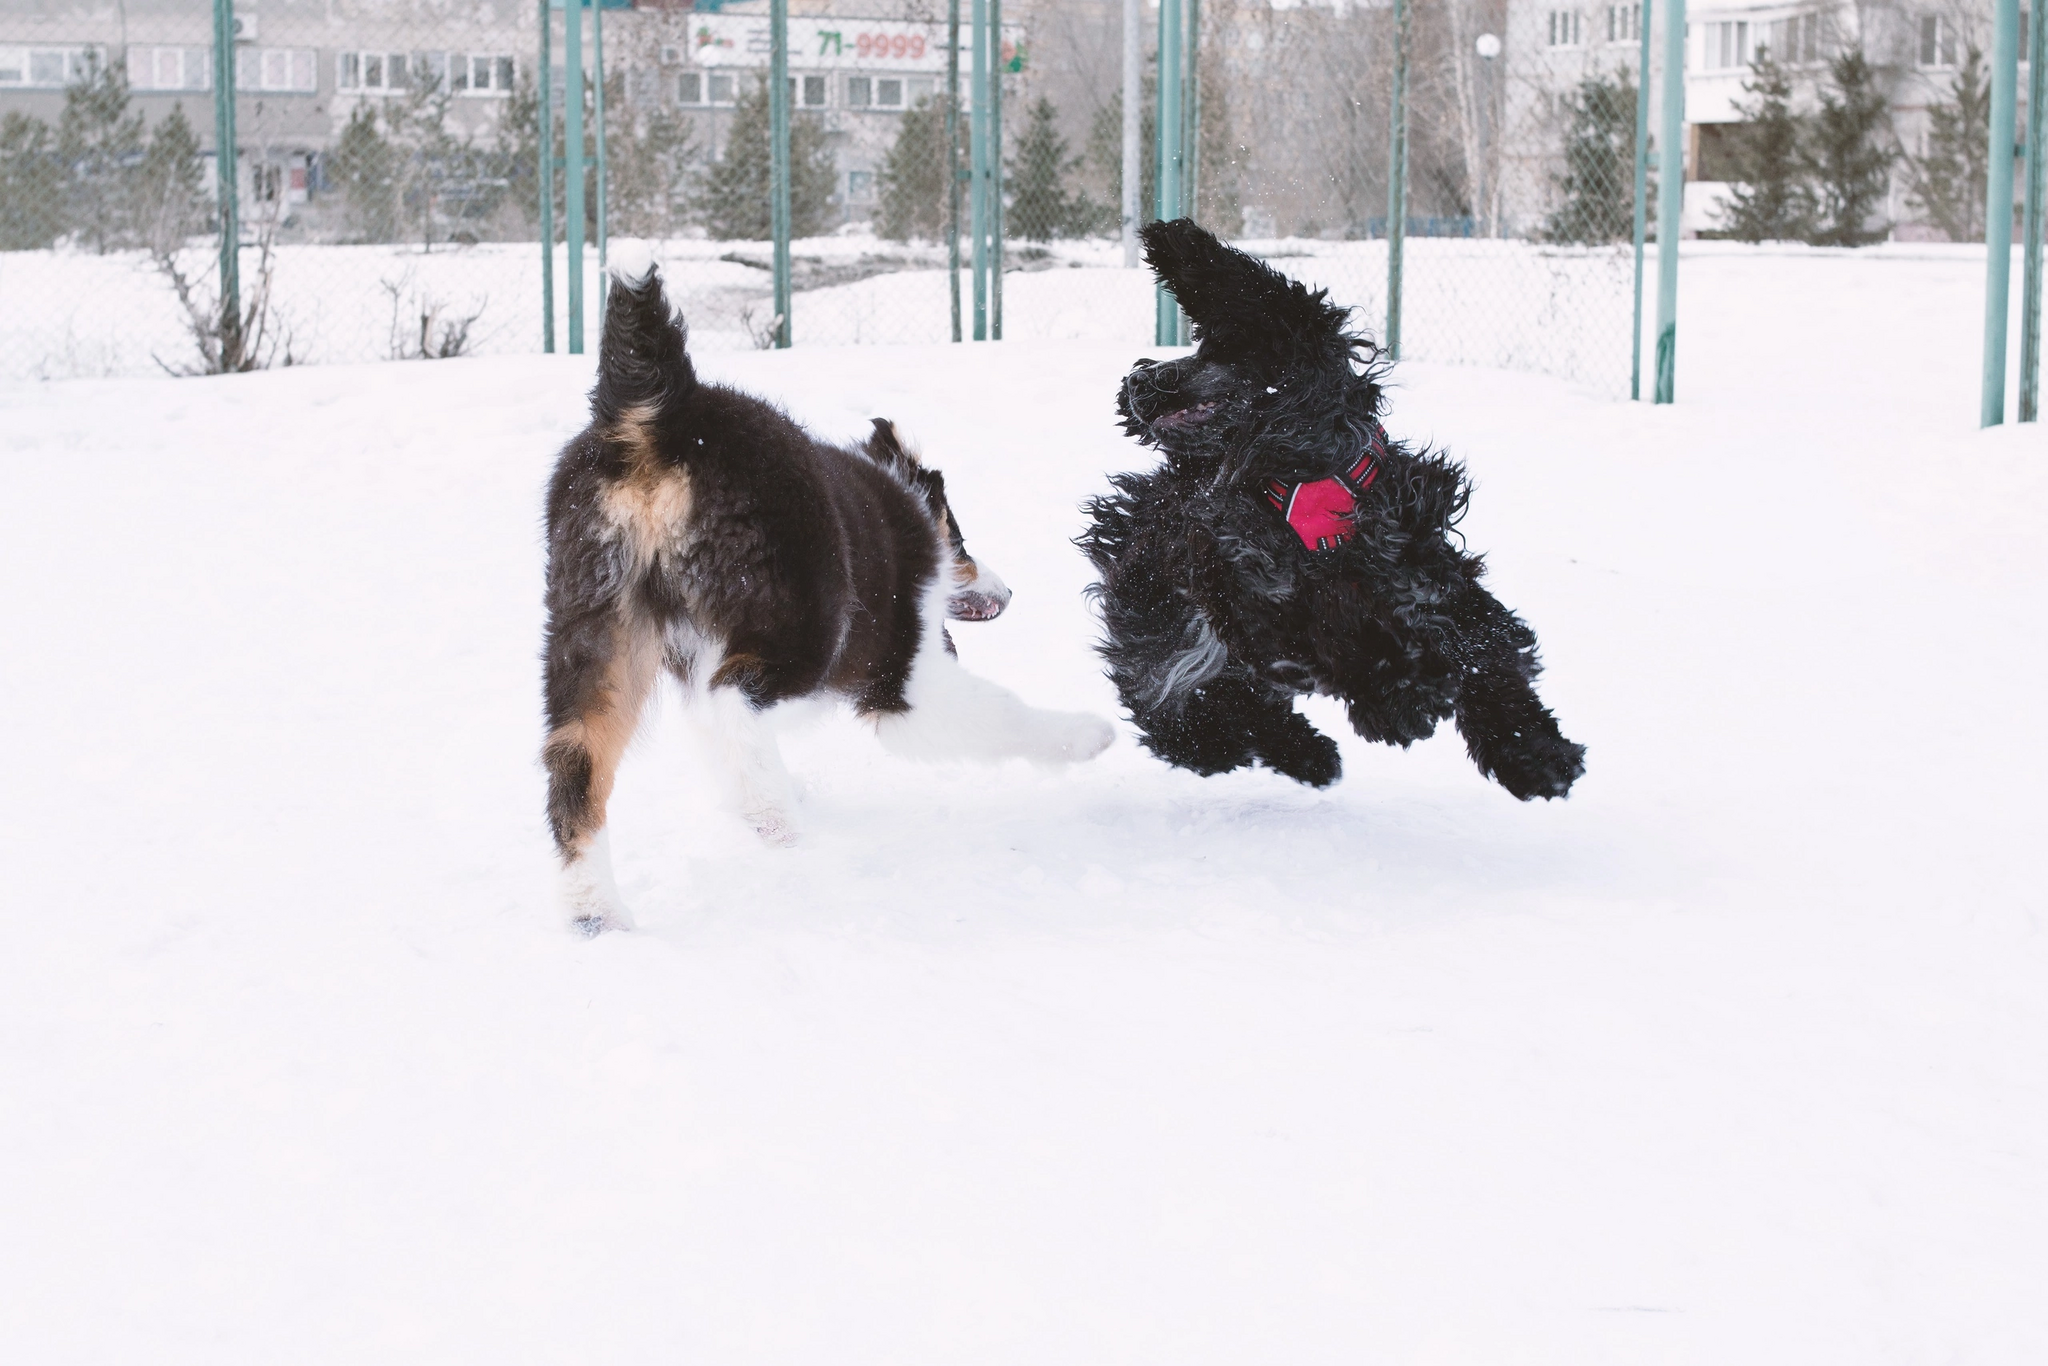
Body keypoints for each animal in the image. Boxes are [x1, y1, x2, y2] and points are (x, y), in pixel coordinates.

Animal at [1081, 220, 1589, 802]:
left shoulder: (1430, 574)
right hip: (1162, 630)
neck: (1311, 483)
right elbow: (1342, 639)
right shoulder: (1254, 594)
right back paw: (1283, 749)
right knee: (1194, 713)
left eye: (1213, 348)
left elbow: (1485, 654)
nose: (1134, 381)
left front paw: (1538, 756)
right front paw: (1403, 698)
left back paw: (1308, 753)